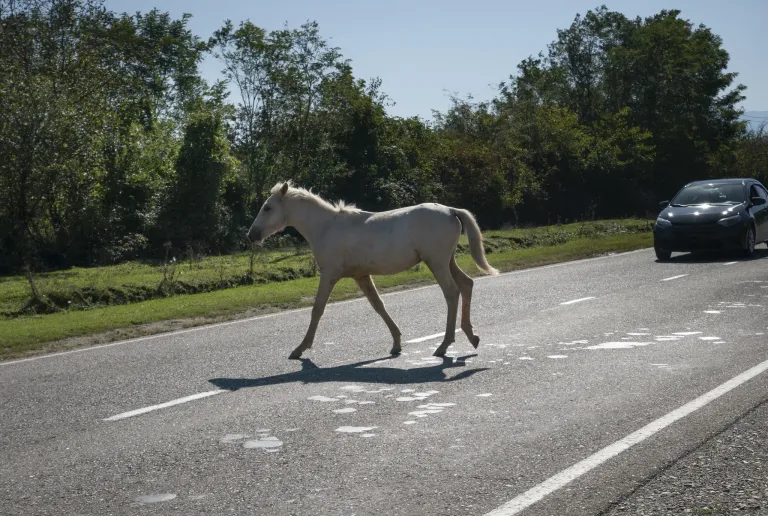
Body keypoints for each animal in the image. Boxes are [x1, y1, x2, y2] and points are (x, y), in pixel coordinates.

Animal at [247, 181, 499, 359]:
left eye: (267, 207)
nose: (251, 235)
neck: (326, 227)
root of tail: (450, 210)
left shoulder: (329, 274)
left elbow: (317, 309)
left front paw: (300, 348)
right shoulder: (361, 275)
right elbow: (378, 305)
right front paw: (396, 343)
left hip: (437, 263)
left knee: (452, 293)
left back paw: (444, 345)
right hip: (447, 261)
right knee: (467, 284)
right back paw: (471, 336)